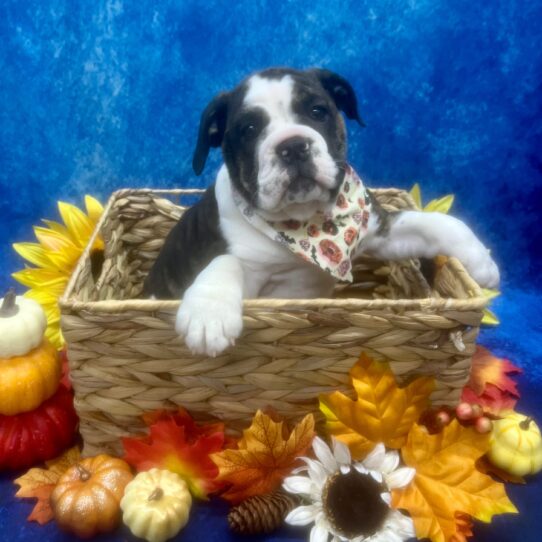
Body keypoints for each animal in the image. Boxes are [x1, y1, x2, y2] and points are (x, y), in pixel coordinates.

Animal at [144, 67, 502, 356]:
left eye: (318, 111)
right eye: (248, 130)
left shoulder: (380, 231)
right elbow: (225, 261)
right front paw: (209, 313)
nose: (292, 146)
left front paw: (481, 261)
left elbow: (436, 222)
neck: (308, 224)